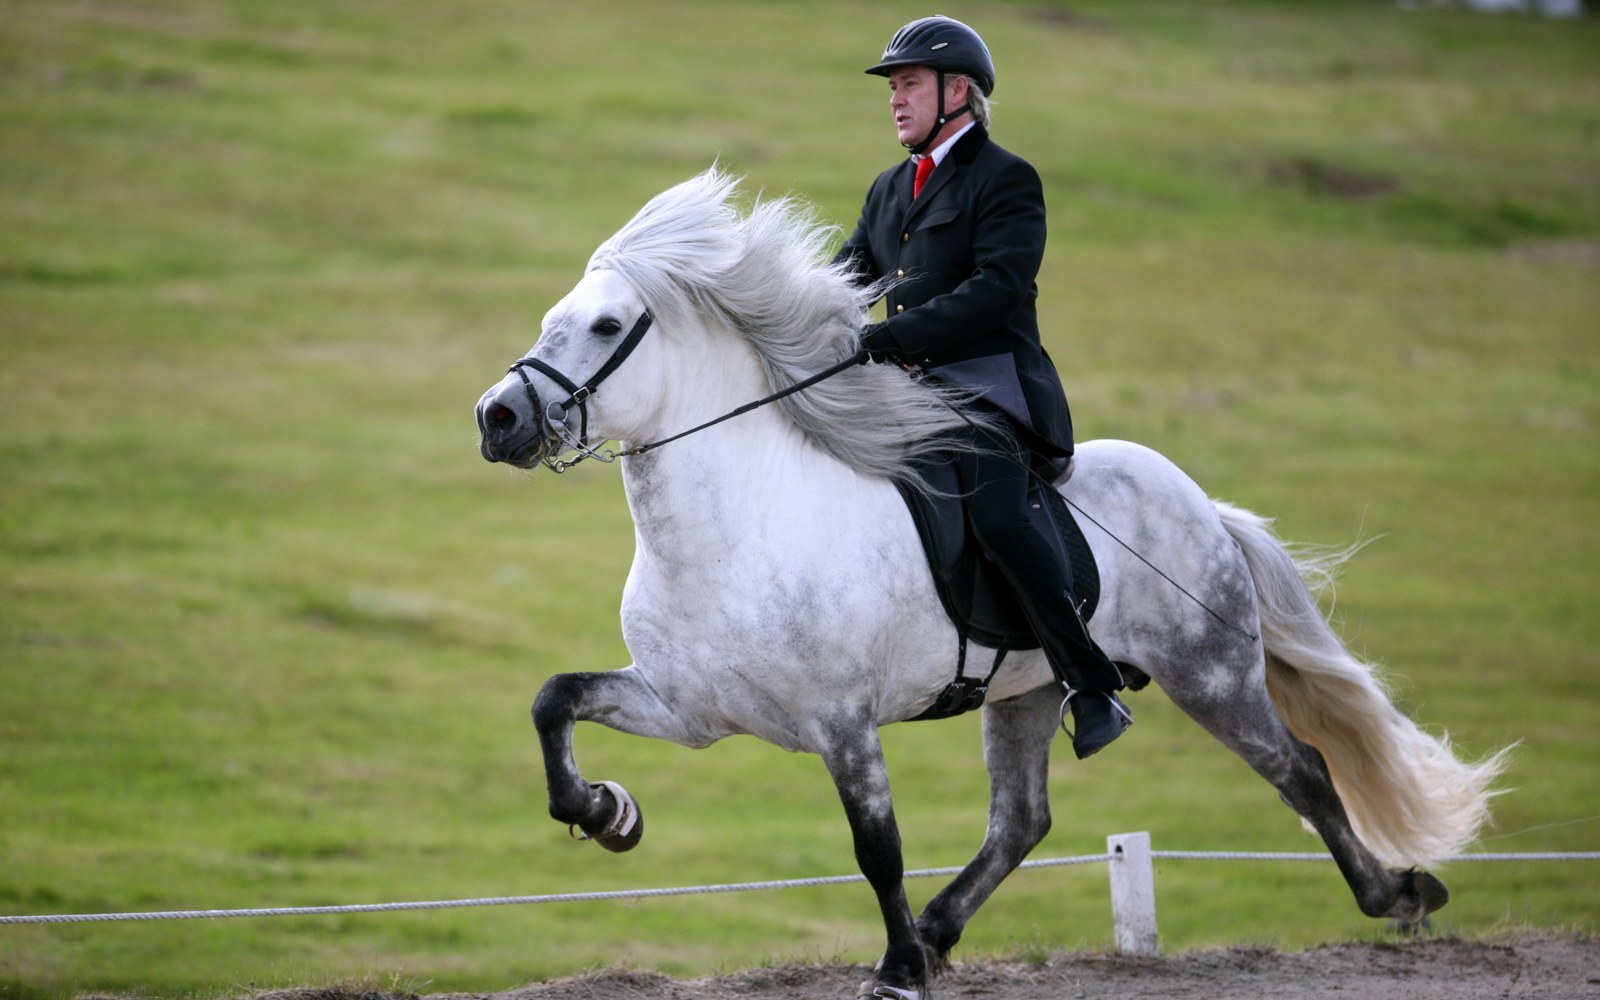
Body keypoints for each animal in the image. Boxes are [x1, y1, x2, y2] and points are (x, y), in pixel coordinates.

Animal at [474, 169, 1506, 999]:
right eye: (552, 314)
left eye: (607, 324)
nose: (497, 419)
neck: (736, 530)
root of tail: (1204, 504)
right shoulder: (687, 708)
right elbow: (552, 700)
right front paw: (609, 814)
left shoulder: (842, 725)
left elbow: (877, 849)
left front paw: (894, 974)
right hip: (1031, 688)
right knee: (1023, 819)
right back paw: (940, 930)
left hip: (1209, 673)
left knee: (1302, 769)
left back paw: (1398, 894)